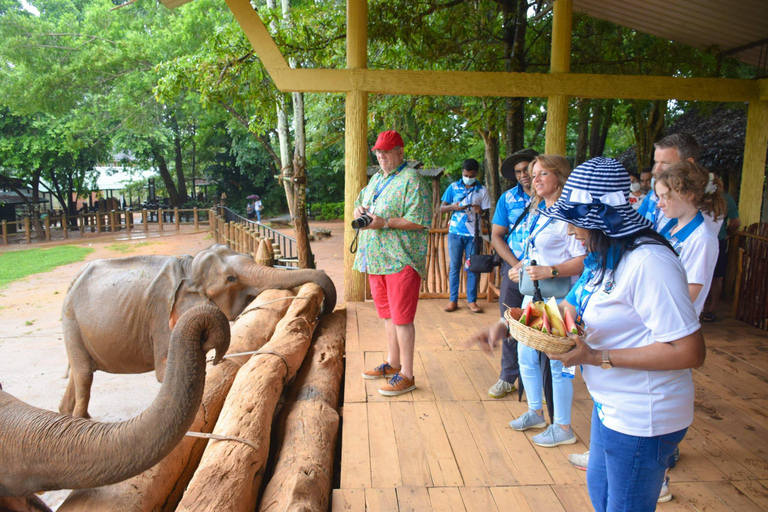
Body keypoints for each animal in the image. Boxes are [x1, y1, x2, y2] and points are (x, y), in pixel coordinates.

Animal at [60, 242, 336, 418]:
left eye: (249, 258)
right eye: (230, 279)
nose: (323, 311)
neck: (189, 266)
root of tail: (74, 280)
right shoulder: (162, 316)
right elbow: (166, 370)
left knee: (77, 372)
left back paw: (67, 414)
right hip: (71, 320)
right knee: (84, 374)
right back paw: (81, 419)